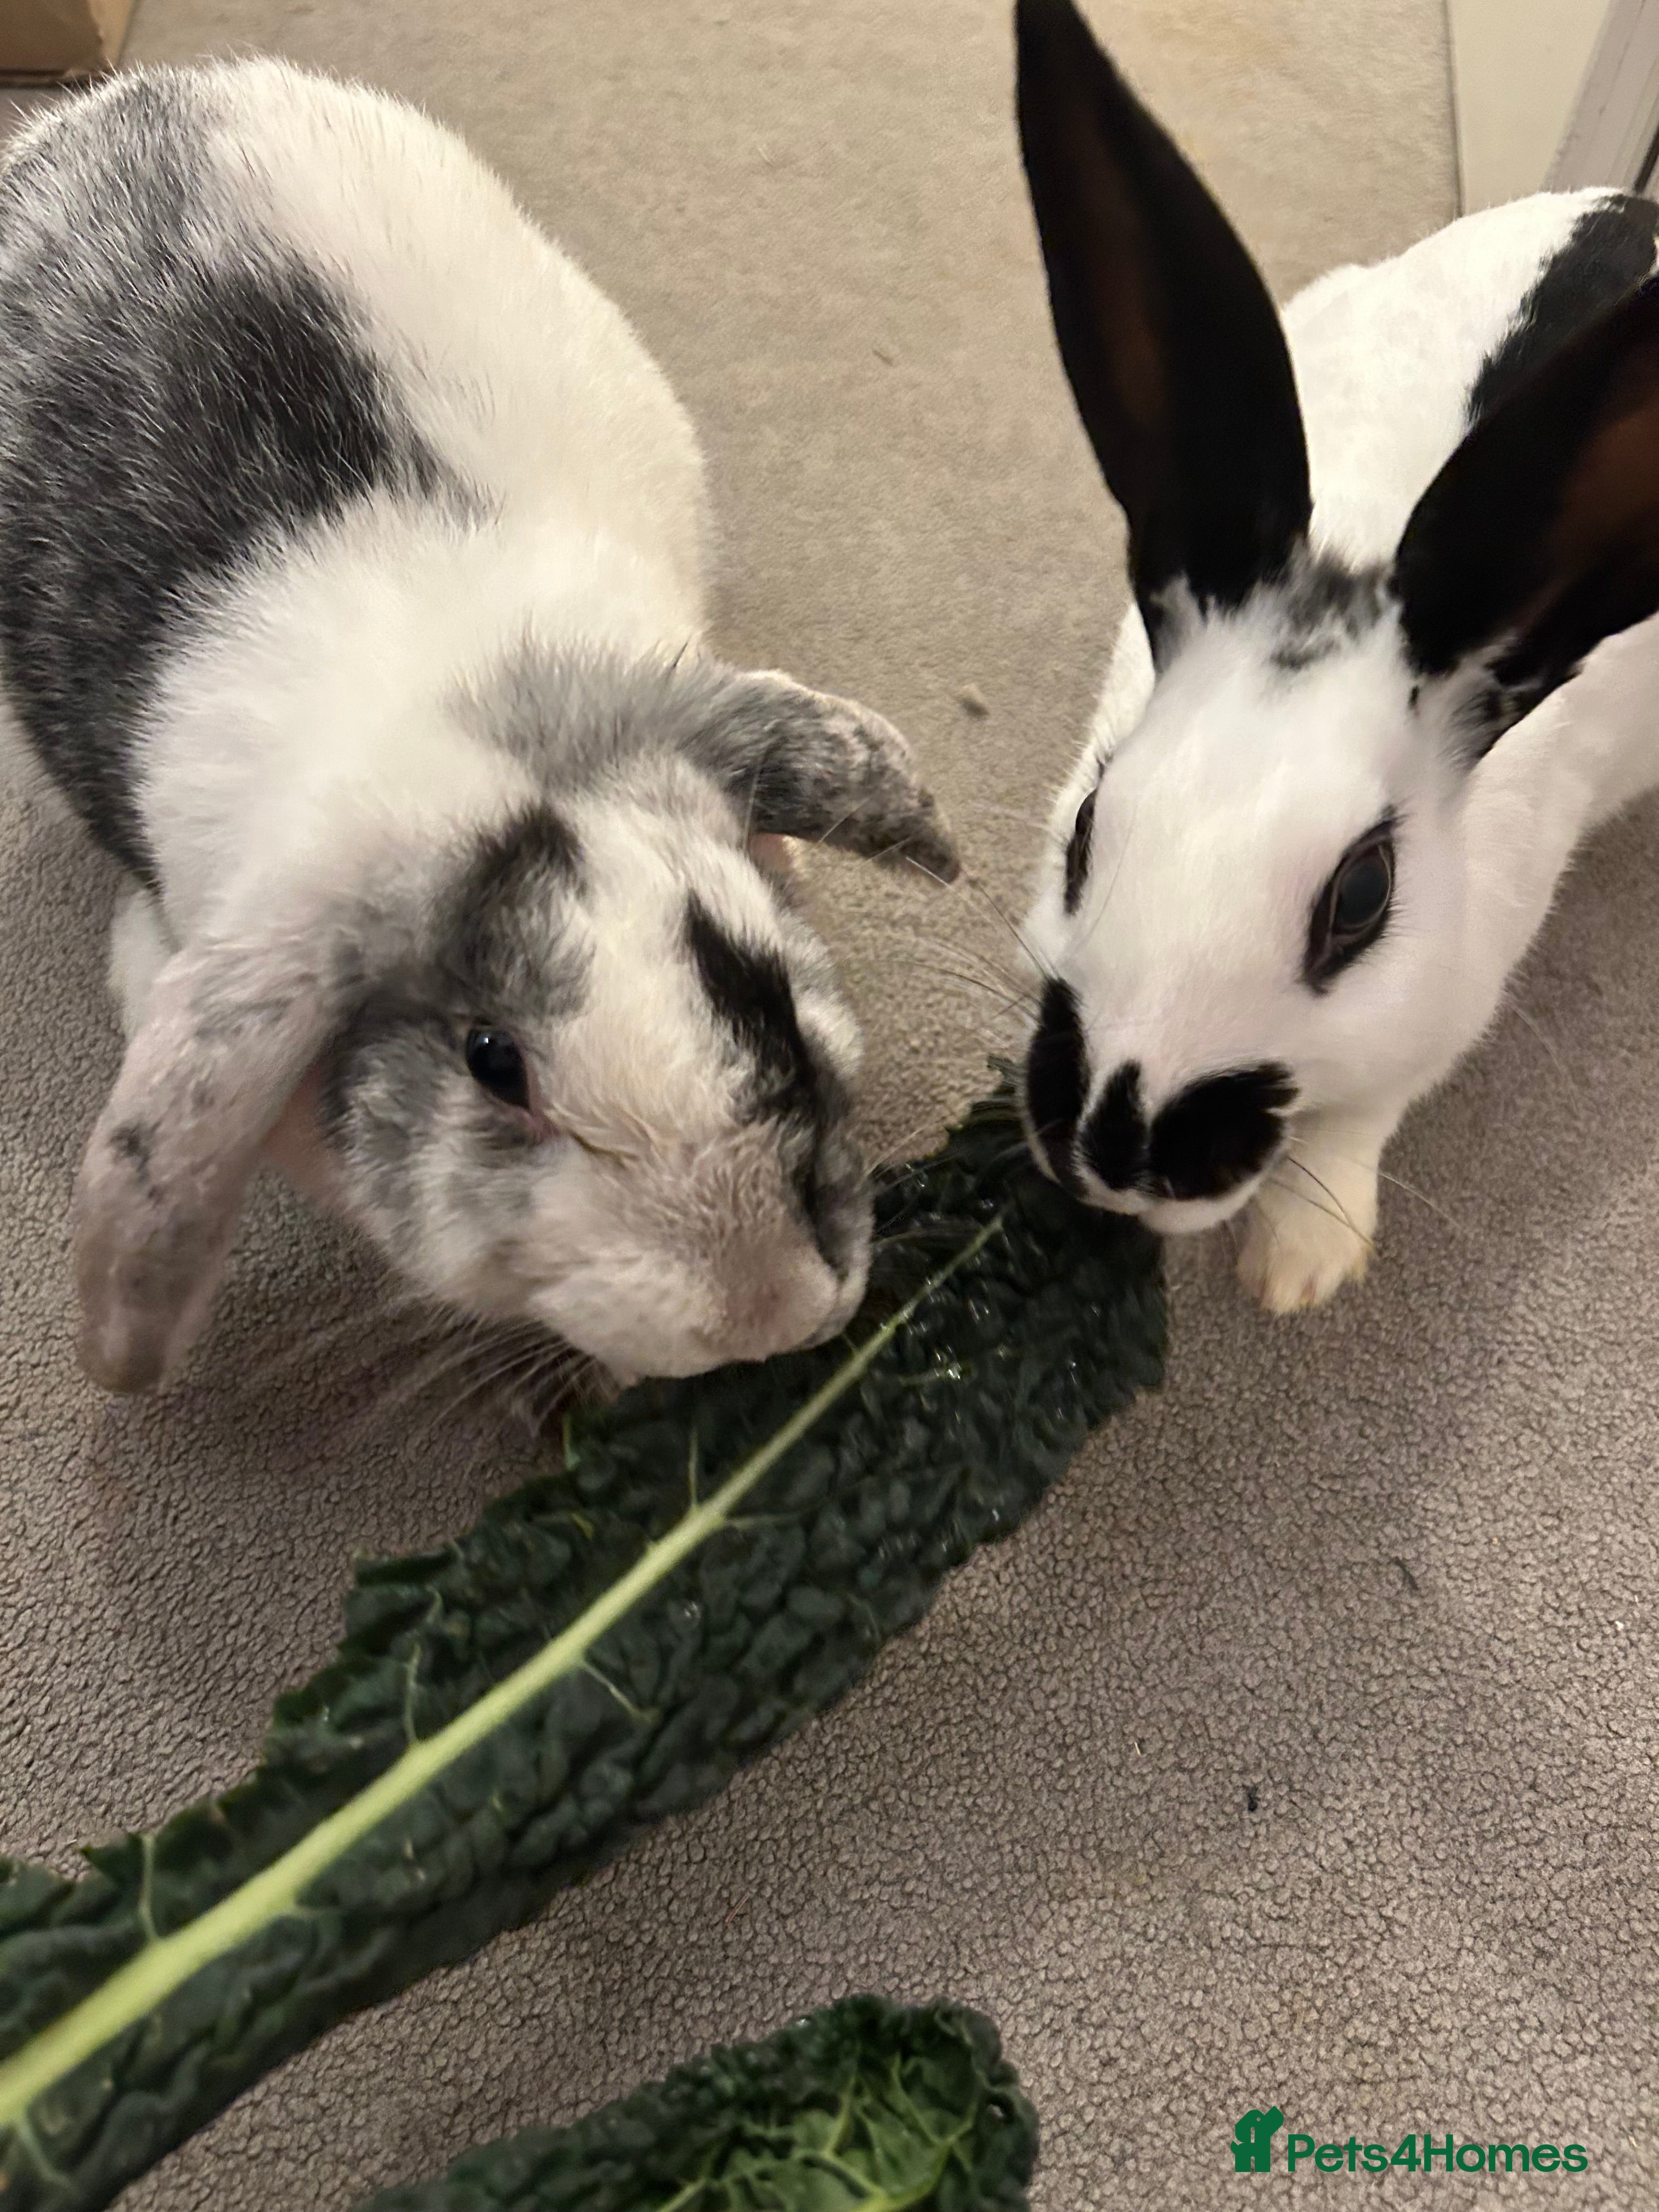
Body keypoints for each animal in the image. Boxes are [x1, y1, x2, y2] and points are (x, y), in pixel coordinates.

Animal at [1012, 0, 1659, 1313]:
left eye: (1361, 899)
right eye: (1090, 826)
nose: (1116, 1146)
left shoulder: (1439, 1010)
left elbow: (1359, 1121)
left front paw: (1300, 1267)